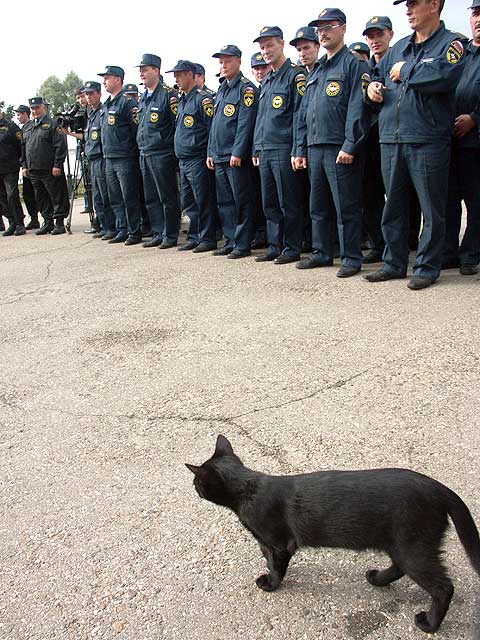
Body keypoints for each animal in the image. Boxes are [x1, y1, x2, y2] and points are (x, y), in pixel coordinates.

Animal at [187, 436, 480, 636]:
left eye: (197, 481)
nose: (193, 487)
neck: (249, 489)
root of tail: (439, 488)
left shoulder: (280, 544)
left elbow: (275, 566)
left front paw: (269, 584)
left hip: (413, 546)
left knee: (443, 587)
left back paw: (429, 624)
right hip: (401, 544)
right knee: (399, 568)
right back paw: (377, 579)